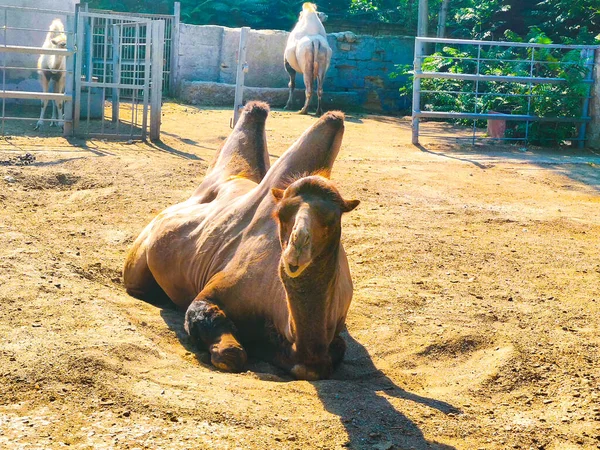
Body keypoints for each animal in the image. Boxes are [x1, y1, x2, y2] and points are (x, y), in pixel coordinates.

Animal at [122, 102, 356, 380]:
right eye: (281, 213)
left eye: (334, 217)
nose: (297, 245)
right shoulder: (213, 293)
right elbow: (227, 349)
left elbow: (329, 355)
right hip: (138, 264)